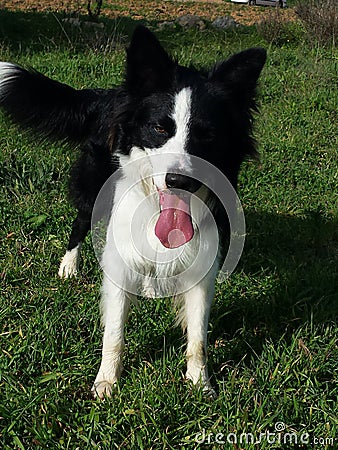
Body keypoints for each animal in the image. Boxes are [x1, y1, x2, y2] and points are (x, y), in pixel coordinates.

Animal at [0, 27, 266, 398]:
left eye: (208, 135)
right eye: (159, 129)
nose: (178, 180)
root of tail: (112, 94)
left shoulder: (202, 261)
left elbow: (198, 334)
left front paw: (200, 383)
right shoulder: (119, 257)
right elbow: (114, 332)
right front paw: (106, 383)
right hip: (94, 186)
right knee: (79, 222)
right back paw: (69, 266)